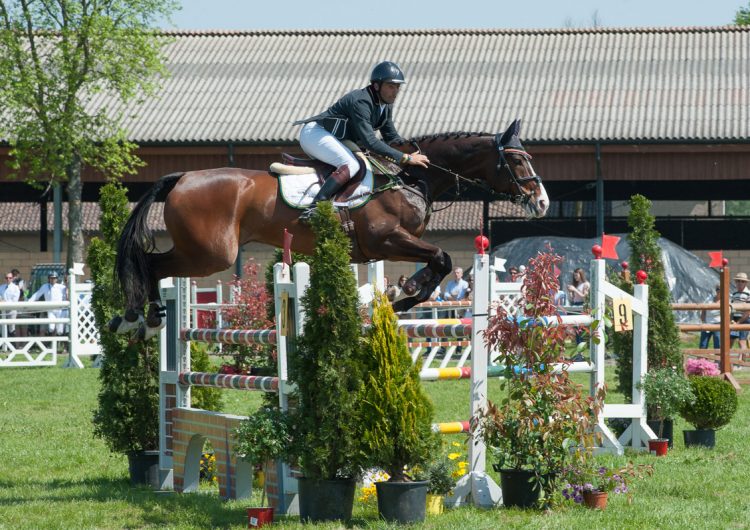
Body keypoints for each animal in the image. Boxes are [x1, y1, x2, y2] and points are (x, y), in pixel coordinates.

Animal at [110, 118, 548, 336]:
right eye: (518, 160)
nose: (542, 201)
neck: (409, 177)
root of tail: (181, 177)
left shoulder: (397, 244)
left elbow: (437, 264)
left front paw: (404, 293)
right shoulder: (385, 241)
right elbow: (441, 259)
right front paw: (402, 295)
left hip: (200, 251)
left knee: (152, 264)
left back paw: (139, 317)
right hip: (211, 254)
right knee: (152, 265)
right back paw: (140, 316)